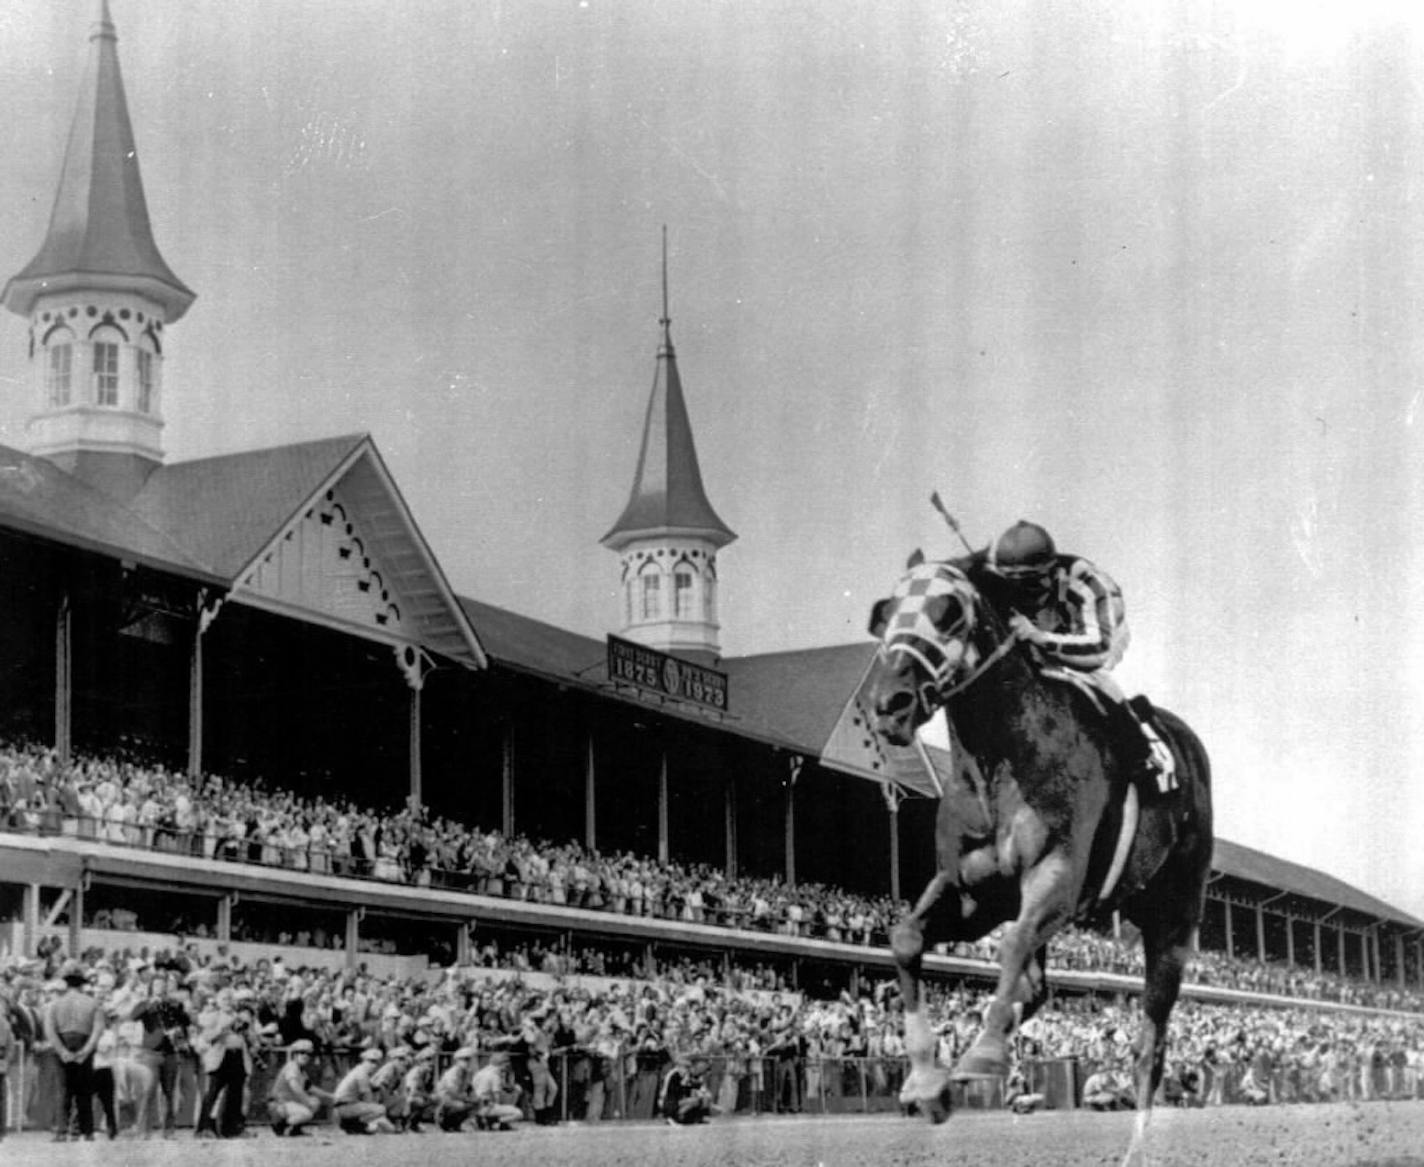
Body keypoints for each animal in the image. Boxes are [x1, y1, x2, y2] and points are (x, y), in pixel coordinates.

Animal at [860, 555, 1207, 1155]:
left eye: (949, 612)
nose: (889, 704)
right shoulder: (974, 893)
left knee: (1150, 1046)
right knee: (1037, 987)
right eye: (885, 612)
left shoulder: (1057, 879)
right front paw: (927, 1081)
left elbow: (1015, 942)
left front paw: (981, 1054)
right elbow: (905, 939)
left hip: (1173, 922)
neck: (999, 762)